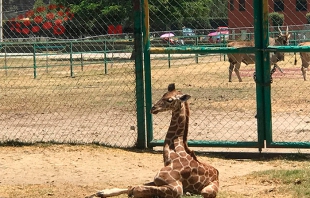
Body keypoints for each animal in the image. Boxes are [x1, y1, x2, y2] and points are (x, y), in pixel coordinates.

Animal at [88, 83, 219, 198]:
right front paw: (102, 192)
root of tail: (217, 173)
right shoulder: (157, 180)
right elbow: (133, 186)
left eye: (170, 100)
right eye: (163, 94)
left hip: (207, 191)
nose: (153, 108)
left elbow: (136, 189)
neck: (172, 156)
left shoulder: (176, 186)